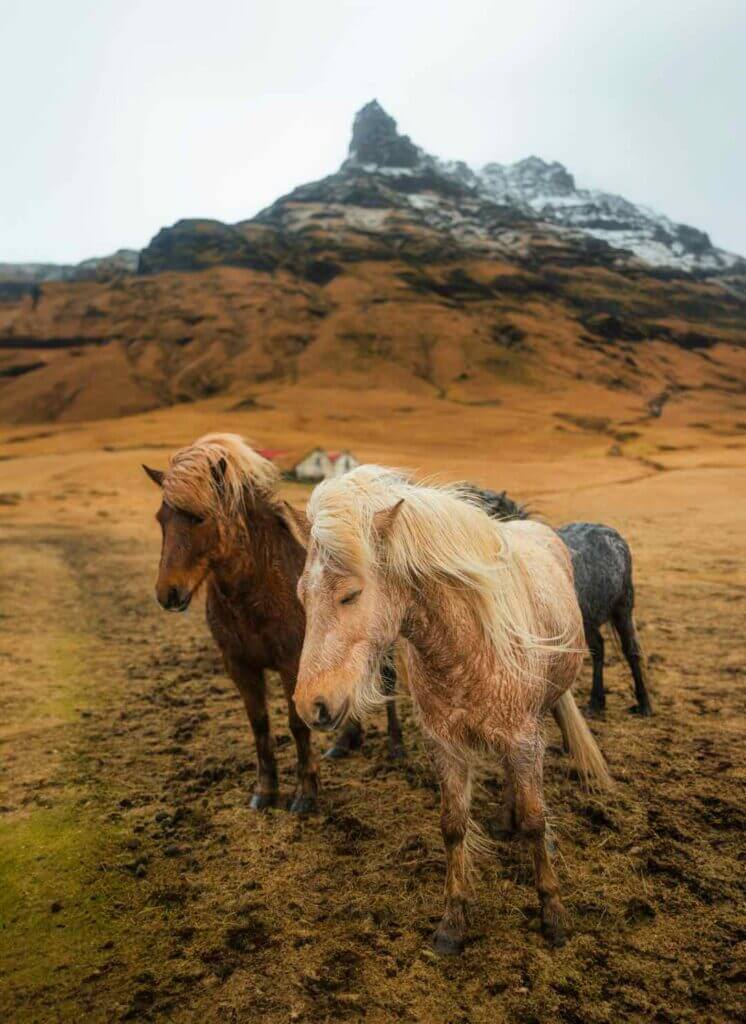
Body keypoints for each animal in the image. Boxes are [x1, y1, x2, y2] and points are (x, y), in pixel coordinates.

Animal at [286, 468, 609, 954]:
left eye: (351, 595)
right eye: (303, 596)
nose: (311, 704)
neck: (467, 644)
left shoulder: (521, 737)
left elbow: (536, 821)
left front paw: (553, 914)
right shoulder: (445, 745)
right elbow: (453, 826)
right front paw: (453, 922)